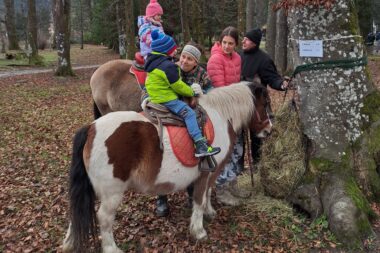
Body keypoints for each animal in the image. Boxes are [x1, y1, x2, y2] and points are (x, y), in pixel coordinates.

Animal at [62, 81, 272, 253]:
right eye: (265, 104)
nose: (269, 131)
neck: (219, 116)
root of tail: (90, 128)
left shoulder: (211, 173)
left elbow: (207, 193)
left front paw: (209, 212)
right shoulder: (205, 174)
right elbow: (199, 199)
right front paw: (199, 231)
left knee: (77, 211)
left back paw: (69, 243)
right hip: (111, 193)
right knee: (104, 218)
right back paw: (111, 248)